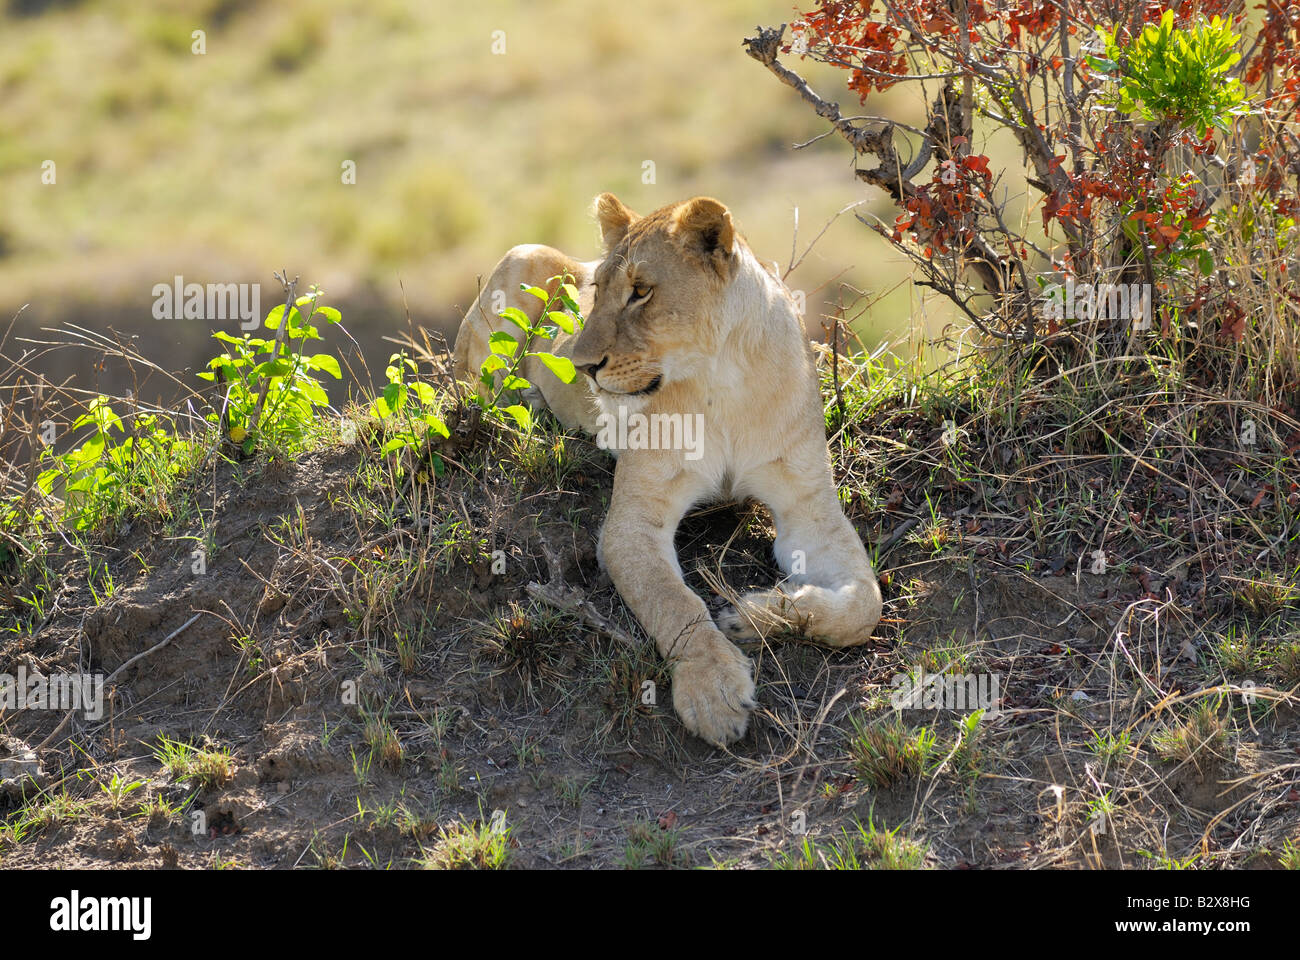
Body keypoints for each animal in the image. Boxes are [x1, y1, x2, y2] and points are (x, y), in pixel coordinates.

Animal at [453, 193, 882, 746]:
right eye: (598, 290)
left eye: (641, 292)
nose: (581, 365)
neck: (723, 381)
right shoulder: (633, 521)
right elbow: (674, 602)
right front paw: (713, 688)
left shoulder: (807, 507)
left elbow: (865, 605)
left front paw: (754, 614)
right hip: (520, 263)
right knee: (473, 390)